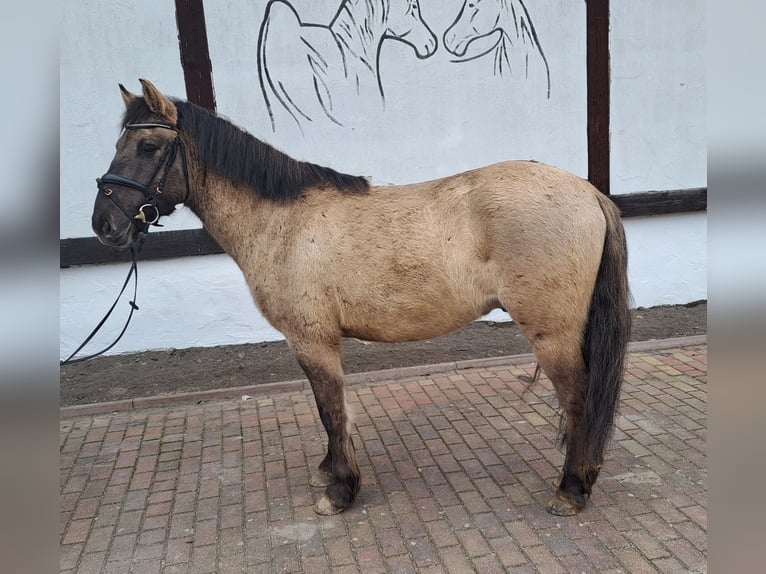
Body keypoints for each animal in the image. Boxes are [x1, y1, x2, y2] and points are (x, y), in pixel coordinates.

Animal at [91, 79, 631, 517]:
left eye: (147, 145)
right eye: (117, 143)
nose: (104, 225)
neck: (283, 221)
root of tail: (588, 192)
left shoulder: (312, 340)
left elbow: (331, 410)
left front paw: (341, 491)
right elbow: (325, 407)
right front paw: (330, 471)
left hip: (552, 333)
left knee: (579, 400)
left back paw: (570, 490)